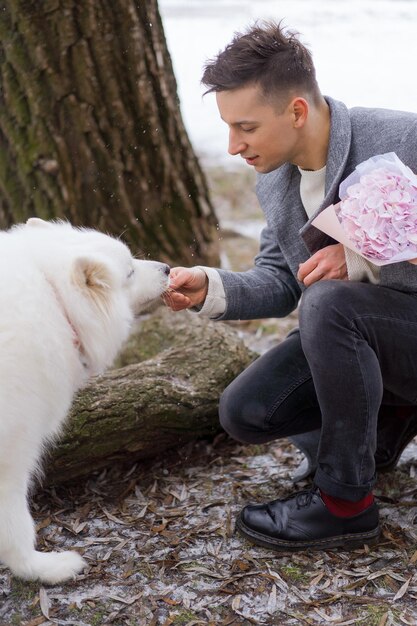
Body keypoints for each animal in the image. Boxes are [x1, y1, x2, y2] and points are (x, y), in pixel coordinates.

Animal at [0, 217, 171, 584]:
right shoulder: (13, 451)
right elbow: (15, 522)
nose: (167, 268)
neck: (54, 300)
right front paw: (39, 567)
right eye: (129, 271)